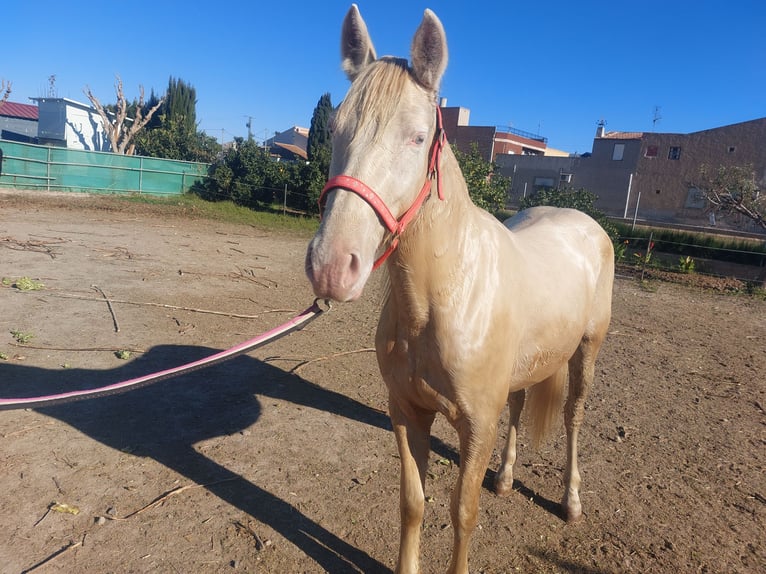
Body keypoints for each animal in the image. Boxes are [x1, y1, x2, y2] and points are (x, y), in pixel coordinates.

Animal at [304, 5, 612, 574]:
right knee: (520, 407)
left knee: (574, 419)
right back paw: (506, 478)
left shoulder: (476, 426)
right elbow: (413, 503)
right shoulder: (407, 413)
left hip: (587, 351)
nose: (331, 266)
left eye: (417, 137)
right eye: (335, 129)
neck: (441, 300)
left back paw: (571, 502)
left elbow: (462, 512)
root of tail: (582, 219)